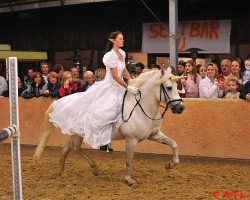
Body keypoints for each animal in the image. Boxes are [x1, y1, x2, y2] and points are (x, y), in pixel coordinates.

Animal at [33, 67, 185, 186]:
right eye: (169, 87)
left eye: (177, 87)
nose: (181, 108)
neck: (141, 108)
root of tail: (61, 101)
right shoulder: (132, 140)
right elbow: (129, 160)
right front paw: (129, 180)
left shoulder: (154, 135)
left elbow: (174, 144)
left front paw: (170, 165)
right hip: (78, 134)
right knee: (75, 148)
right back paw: (94, 168)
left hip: (75, 134)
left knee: (66, 149)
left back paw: (62, 173)